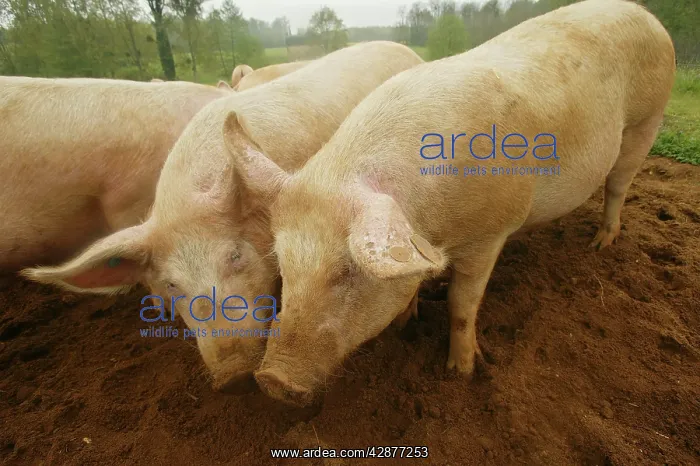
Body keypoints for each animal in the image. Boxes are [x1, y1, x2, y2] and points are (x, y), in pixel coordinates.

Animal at [227, 0, 675, 406]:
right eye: (284, 268)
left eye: (346, 271)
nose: (271, 379)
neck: (433, 224)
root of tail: (646, 15)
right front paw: (405, 322)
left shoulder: (492, 231)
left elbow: (462, 303)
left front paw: (461, 372)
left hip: (647, 119)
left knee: (619, 183)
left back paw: (600, 243)